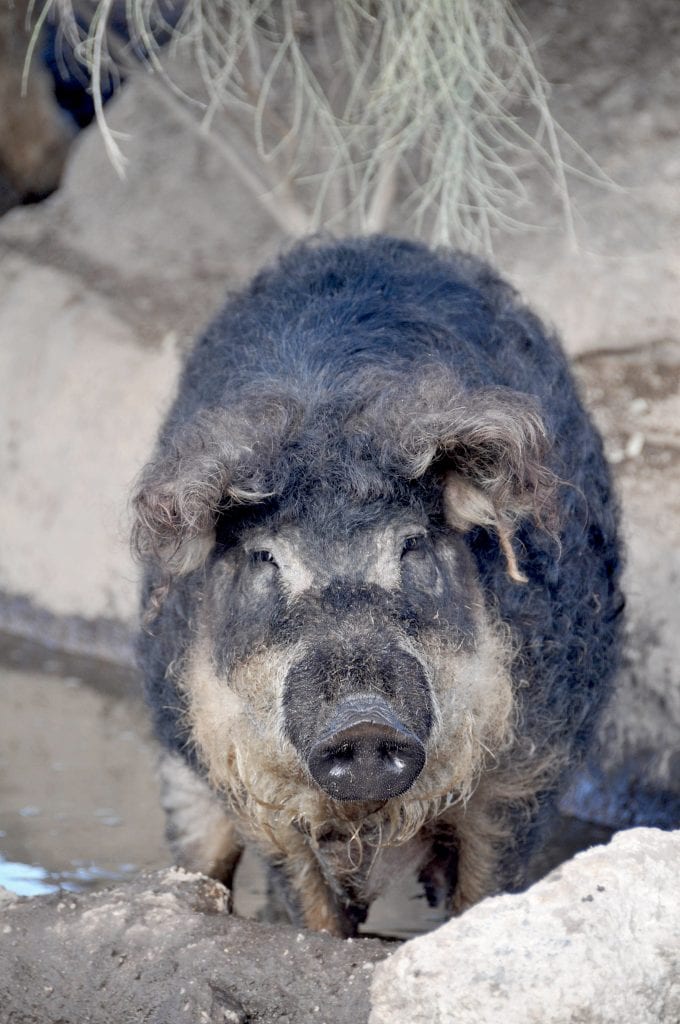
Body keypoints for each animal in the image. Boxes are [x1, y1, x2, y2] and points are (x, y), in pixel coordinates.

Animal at [132, 235, 623, 936]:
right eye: (265, 557)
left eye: (412, 544)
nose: (362, 720)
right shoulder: (248, 781)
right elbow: (308, 903)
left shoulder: (526, 772)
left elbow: (484, 889)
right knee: (202, 860)